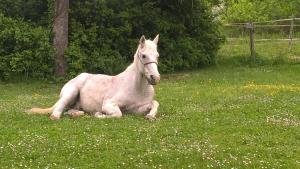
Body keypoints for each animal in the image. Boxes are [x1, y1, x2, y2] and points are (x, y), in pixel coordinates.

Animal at [29, 34, 161, 120]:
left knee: (69, 110)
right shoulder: (109, 104)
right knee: (58, 109)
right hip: (71, 92)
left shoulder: (136, 110)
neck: (137, 88)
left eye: (157, 56)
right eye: (143, 56)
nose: (155, 78)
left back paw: (76, 114)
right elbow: (118, 114)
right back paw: (57, 116)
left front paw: (150, 116)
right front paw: (98, 114)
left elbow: (155, 103)